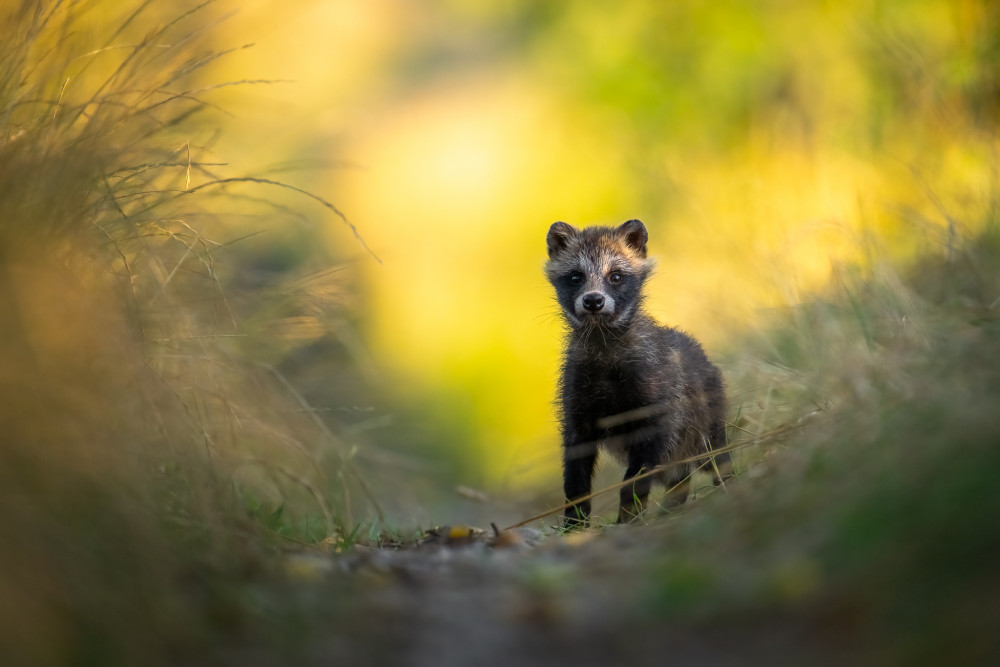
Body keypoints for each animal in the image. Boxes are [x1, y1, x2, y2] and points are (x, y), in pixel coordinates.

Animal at [544, 219, 732, 528]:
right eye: (575, 277)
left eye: (616, 276)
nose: (593, 301)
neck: (603, 342)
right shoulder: (577, 405)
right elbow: (575, 476)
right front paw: (575, 525)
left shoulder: (657, 404)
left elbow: (635, 479)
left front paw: (628, 516)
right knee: (679, 478)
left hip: (707, 419)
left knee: (716, 457)